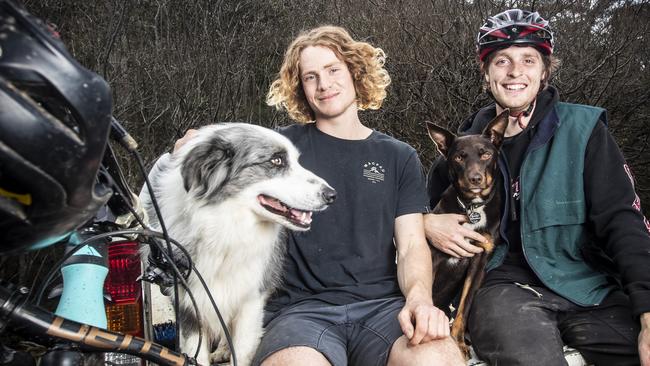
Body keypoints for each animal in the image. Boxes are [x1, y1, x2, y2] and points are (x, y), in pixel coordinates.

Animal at [428, 109, 508, 358]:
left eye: (485, 155)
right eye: (459, 158)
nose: (475, 179)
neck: (472, 207)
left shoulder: (478, 263)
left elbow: (464, 307)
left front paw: (459, 342)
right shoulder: (433, 257)